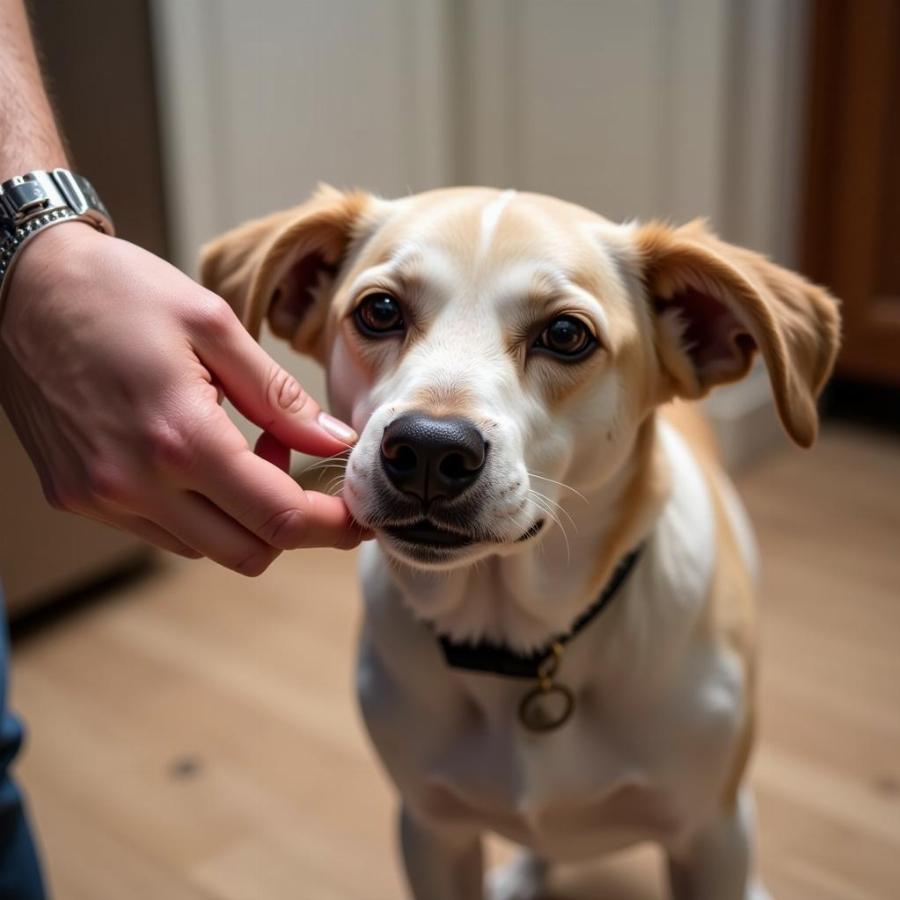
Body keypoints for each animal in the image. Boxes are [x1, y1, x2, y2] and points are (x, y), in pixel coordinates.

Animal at [200, 185, 840, 900]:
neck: (519, 643)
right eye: (380, 310)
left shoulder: (712, 834)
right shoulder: (431, 830)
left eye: (565, 334)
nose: (428, 450)